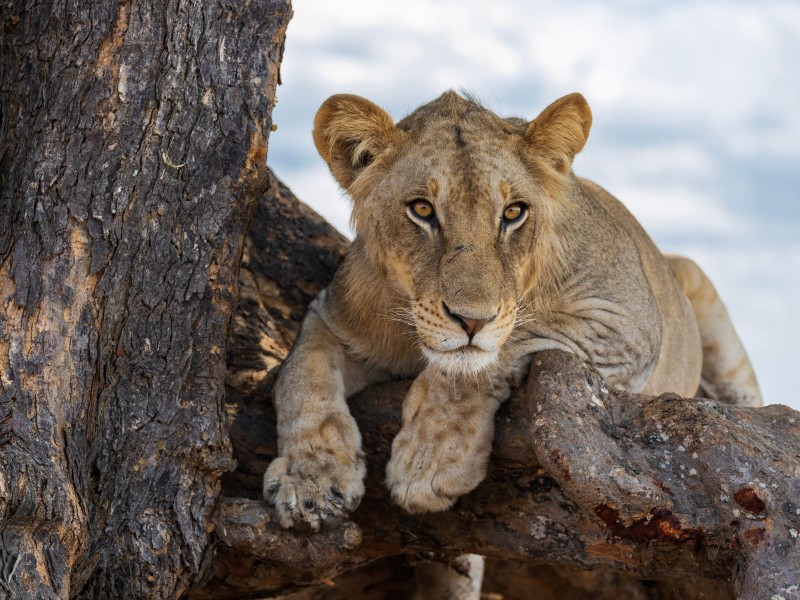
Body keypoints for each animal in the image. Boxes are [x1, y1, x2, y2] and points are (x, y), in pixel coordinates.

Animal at [263, 91, 762, 535]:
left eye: (513, 212)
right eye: (421, 209)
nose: (472, 321)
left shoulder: (628, 327)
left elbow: (498, 348)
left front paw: (431, 459)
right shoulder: (332, 316)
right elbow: (300, 375)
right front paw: (311, 483)